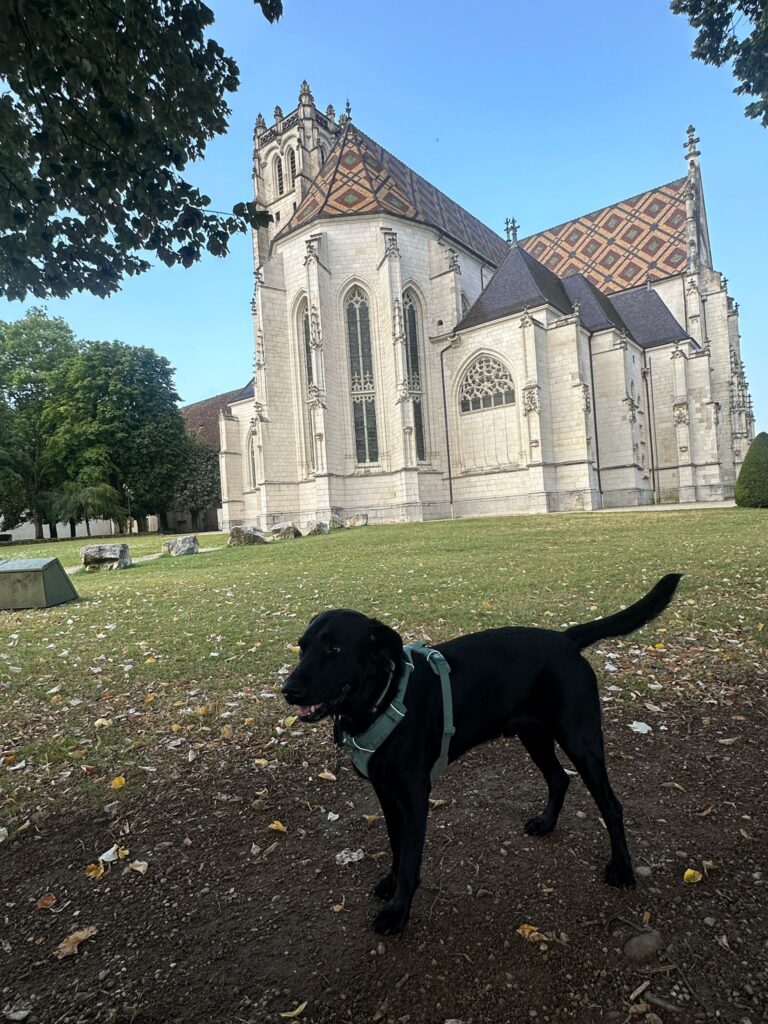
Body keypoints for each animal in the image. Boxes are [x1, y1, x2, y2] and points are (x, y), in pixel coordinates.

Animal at [286, 577, 684, 937]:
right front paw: (391, 882)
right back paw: (546, 823)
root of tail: (566, 639)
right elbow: (396, 846)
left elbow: (411, 859)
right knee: (559, 779)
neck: (381, 700)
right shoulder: (385, 792)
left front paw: (398, 913)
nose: (288, 690)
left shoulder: (414, 796)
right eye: (302, 647)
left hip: (580, 740)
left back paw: (623, 869)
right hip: (533, 735)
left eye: (335, 650)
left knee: (611, 805)